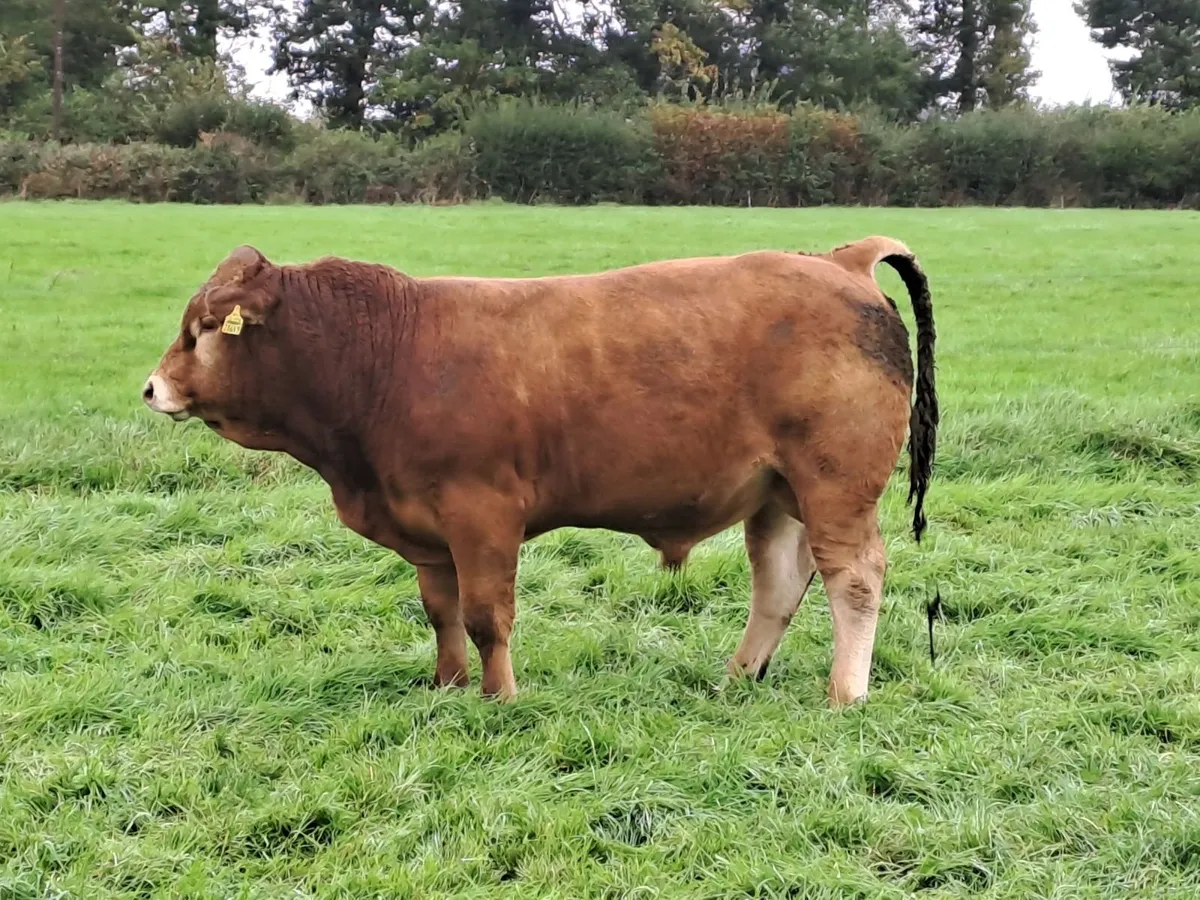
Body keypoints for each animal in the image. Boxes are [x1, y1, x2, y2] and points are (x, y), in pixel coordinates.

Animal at [142, 236, 938, 706]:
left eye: (203, 329)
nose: (152, 388)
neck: (384, 355)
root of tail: (838, 260)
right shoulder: (428, 530)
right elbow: (441, 612)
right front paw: (448, 687)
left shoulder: (482, 513)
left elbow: (485, 615)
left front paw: (499, 698)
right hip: (778, 494)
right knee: (779, 583)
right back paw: (737, 679)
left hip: (835, 484)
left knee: (854, 577)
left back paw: (845, 693)